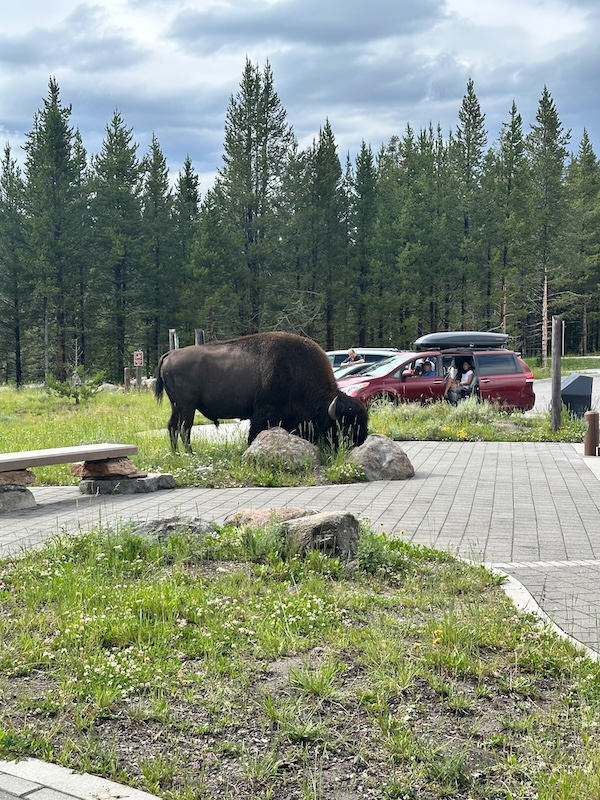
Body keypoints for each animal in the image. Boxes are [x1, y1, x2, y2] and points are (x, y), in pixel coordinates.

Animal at [154, 332, 368, 453]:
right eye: (346, 423)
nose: (360, 442)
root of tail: (170, 354)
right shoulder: (263, 414)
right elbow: (254, 434)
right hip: (187, 406)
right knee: (184, 429)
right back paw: (190, 454)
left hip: (177, 406)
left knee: (172, 426)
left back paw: (176, 453)